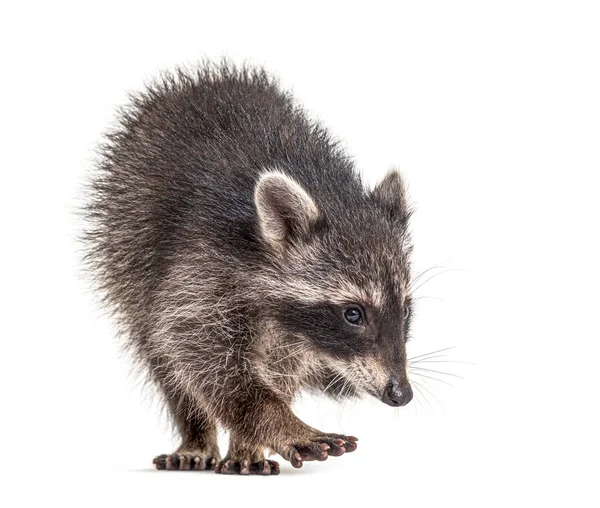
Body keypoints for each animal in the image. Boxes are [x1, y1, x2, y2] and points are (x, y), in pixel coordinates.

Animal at [83, 61, 412, 474]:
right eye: (353, 314)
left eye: (406, 311)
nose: (401, 393)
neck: (331, 194)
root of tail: (204, 79)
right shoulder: (200, 263)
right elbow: (192, 344)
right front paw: (272, 417)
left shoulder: (295, 331)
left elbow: (279, 365)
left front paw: (253, 437)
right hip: (125, 247)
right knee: (161, 351)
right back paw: (196, 431)